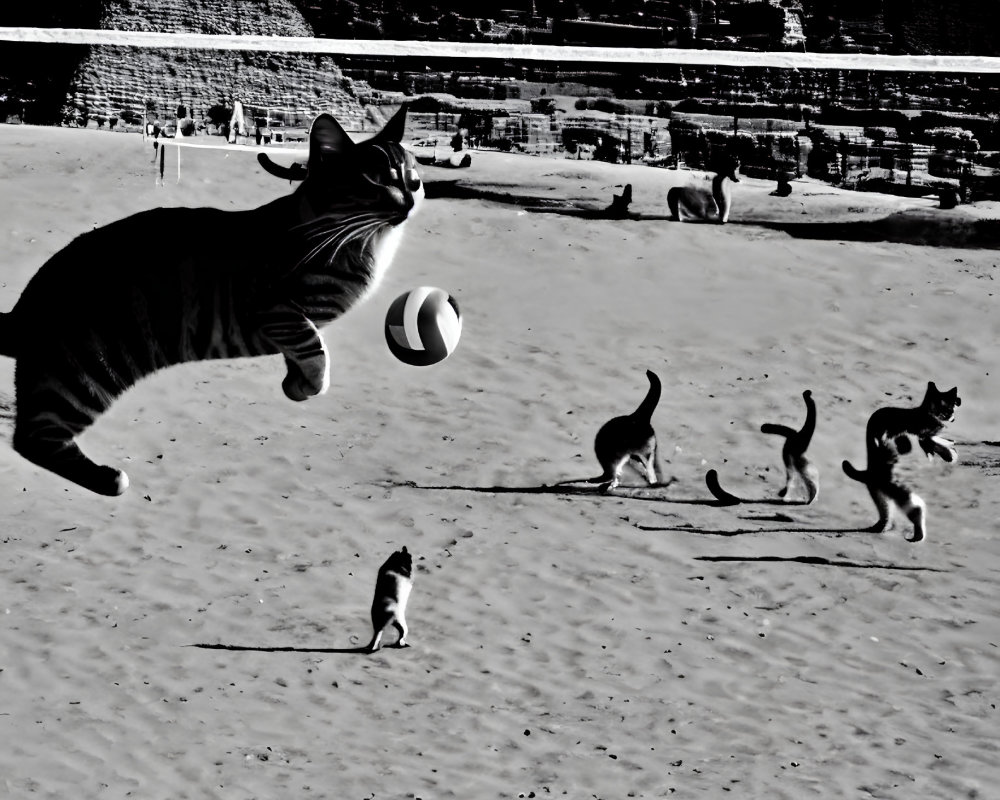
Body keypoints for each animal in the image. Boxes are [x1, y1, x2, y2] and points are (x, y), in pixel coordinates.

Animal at [0, 106, 422, 494]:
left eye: (414, 179)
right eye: (375, 180)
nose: (411, 200)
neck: (364, 245)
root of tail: (22, 308)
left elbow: (302, 355)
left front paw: (295, 386)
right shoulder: (274, 308)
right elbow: (314, 348)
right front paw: (310, 381)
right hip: (86, 373)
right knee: (31, 438)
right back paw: (107, 479)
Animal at [844, 382, 960, 544]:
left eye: (952, 408)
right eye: (947, 409)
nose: (952, 418)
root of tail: (871, 474)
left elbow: (936, 441)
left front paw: (949, 452)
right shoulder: (918, 433)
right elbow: (931, 440)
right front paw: (948, 452)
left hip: (881, 491)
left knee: (888, 512)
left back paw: (885, 527)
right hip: (890, 483)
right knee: (914, 508)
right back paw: (916, 534)